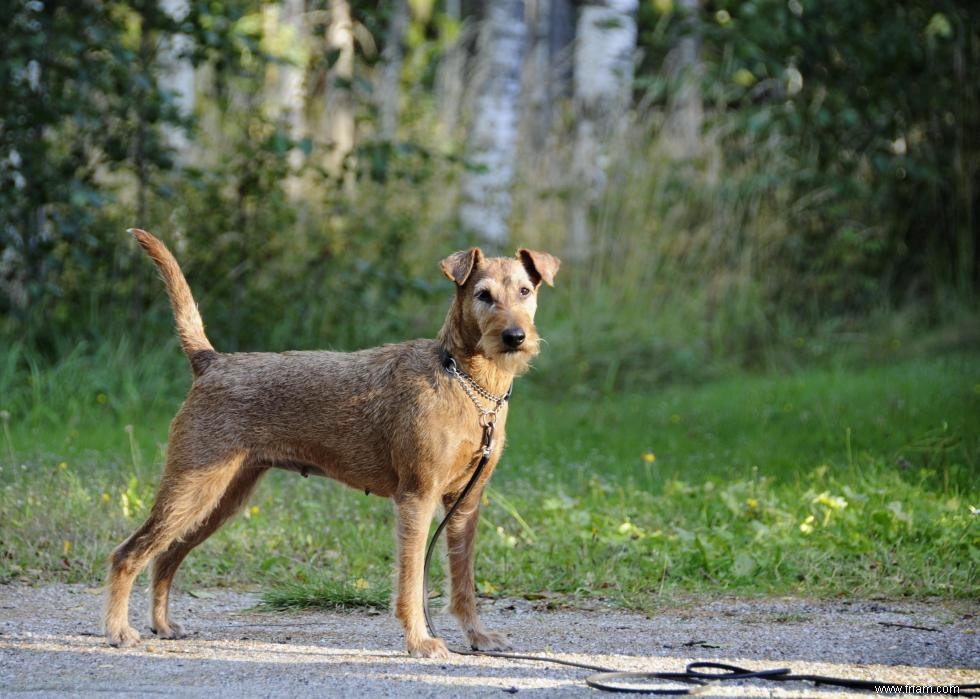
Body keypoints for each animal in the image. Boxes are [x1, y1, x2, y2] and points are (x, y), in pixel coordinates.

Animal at [104, 230, 560, 660]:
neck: (465, 381)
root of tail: (211, 361)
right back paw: (118, 631)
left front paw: (478, 636)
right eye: (483, 295)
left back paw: (162, 624)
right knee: (129, 553)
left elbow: (463, 580)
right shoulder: (417, 497)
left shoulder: (465, 503)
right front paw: (419, 640)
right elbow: (411, 581)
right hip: (192, 487)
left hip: (220, 498)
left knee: (166, 556)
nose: (515, 336)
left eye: (525, 291)